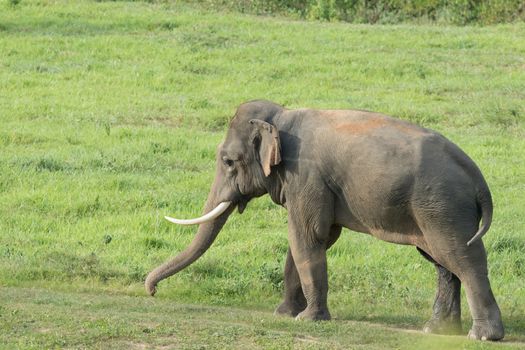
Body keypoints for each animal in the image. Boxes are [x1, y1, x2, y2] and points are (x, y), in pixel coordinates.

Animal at [145, 100, 506, 340]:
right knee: (442, 262)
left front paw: (307, 320)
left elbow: (307, 236)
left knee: (462, 258)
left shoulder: (306, 177)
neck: (283, 115)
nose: (151, 290)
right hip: (435, 209)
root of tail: (478, 178)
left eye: (228, 161)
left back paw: (483, 336)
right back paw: (438, 330)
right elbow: (307, 240)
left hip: (443, 206)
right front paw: (284, 314)